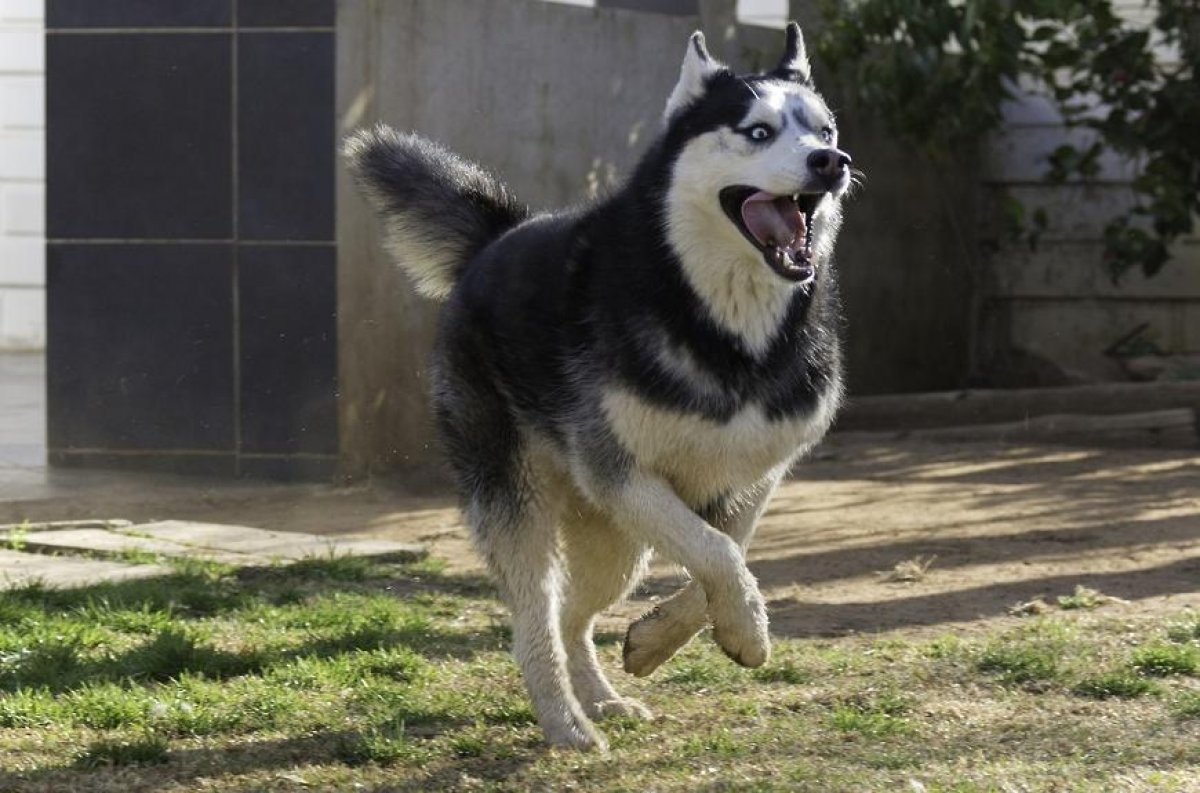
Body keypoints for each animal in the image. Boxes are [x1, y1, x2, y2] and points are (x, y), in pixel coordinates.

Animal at [348, 23, 854, 748]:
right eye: (757, 132)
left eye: (825, 128)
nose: (831, 161)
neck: (721, 323)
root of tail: (499, 234)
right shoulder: (619, 471)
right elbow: (718, 553)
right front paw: (750, 633)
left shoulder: (753, 476)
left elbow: (726, 552)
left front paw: (663, 639)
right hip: (522, 504)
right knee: (534, 618)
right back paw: (564, 720)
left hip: (616, 541)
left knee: (570, 614)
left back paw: (601, 697)